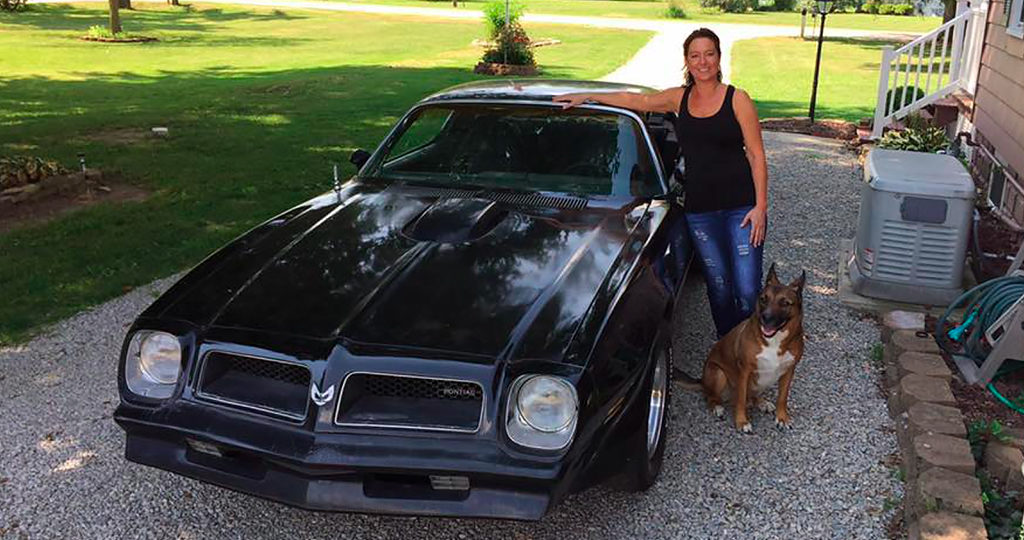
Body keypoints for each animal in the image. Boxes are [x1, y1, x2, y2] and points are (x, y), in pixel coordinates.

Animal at [692, 264, 802, 432]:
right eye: (763, 299)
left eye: (785, 303)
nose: (765, 318)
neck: (773, 341)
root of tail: (702, 381)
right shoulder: (744, 371)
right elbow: (741, 400)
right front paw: (742, 421)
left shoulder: (789, 370)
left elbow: (782, 398)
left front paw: (782, 418)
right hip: (718, 373)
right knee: (711, 397)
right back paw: (717, 407)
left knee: (751, 396)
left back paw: (762, 402)